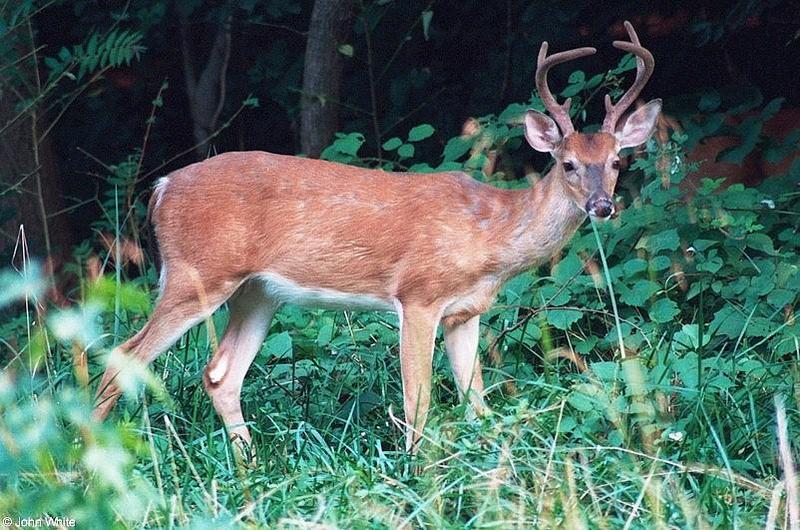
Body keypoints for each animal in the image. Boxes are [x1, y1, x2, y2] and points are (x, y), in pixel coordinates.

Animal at [94, 20, 660, 450]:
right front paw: (419, 474)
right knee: (123, 356)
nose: (602, 206)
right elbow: (418, 400)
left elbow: (477, 401)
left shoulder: (465, 312)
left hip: (257, 292)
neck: (489, 234)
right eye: (567, 164)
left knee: (220, 374)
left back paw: (248, 467)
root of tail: (161, 189)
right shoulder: (418, 295)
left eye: (616, 161)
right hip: (196, 274)